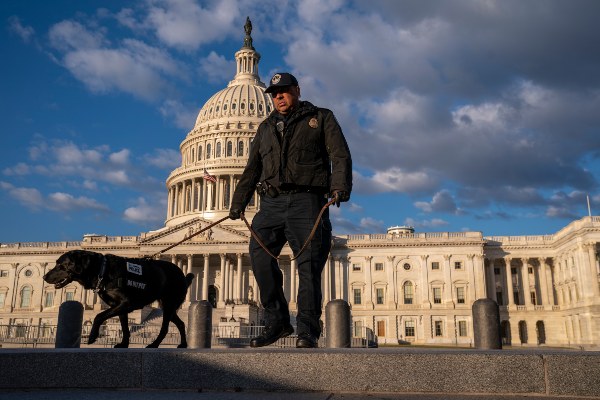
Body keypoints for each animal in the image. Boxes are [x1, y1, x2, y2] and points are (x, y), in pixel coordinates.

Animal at [44, 250, 195, 346]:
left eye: (61, 265)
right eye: (55, 263)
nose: (44, 277)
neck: (102, 270)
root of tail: (183, 276)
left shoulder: (126, 303)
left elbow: (99, 316)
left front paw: (92, 336)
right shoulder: (120, 307)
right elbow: (124, 327)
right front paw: (123, 344)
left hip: (169, 305)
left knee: (165, 328)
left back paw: (154, 345)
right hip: (168, 307)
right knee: (180, 323)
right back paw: (183, 344)